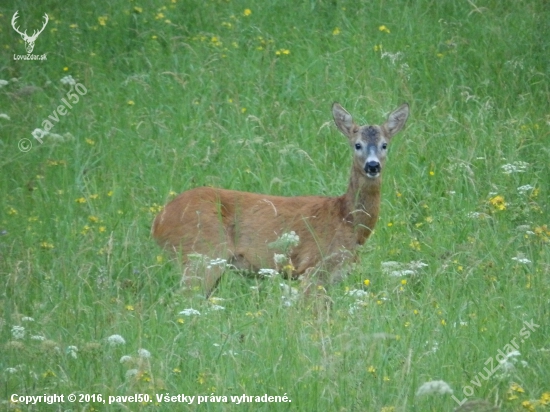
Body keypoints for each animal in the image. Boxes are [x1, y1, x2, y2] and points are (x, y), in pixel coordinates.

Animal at [152, 102, 410, 296]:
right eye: (357, 145)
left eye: (384, 145)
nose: (373, 166)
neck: (347, 220)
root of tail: (158, 220)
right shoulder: (314, 266)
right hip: (202, 255)